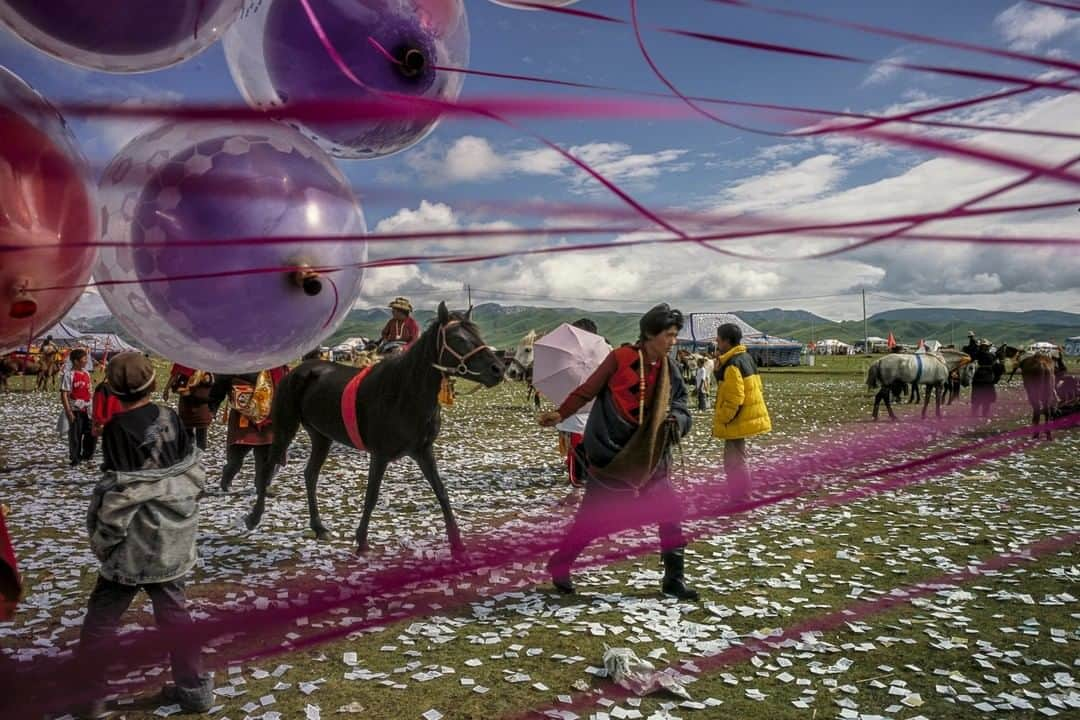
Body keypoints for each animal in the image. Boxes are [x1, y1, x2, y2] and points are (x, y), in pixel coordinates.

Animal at [248, 304, 505, 557]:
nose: (499, 369)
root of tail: (299, 370)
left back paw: (319, 528)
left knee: (310, 474)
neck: (404, 394)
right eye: (459, 338)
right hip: (285, 427)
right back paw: (254, 517)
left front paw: (457, 545)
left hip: (321, 436)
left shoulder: (423, 451)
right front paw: (362, 541)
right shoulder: (380, 455)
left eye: (478, 334)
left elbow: (441, 491)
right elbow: (372, 495)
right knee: (269, 466)